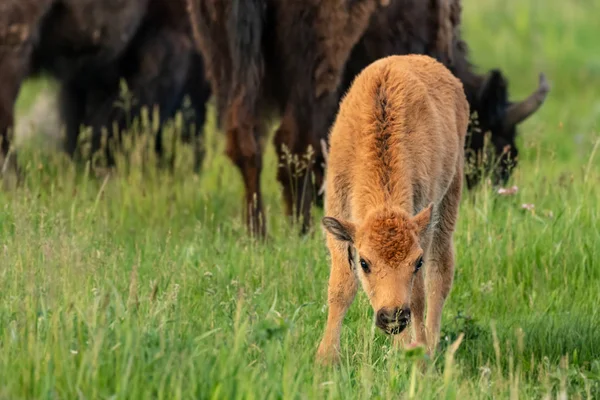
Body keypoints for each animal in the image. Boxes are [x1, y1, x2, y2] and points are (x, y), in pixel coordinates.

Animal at [316, 53, 472, 362]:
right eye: (364, 262)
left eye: (416, 262)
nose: (392, 317)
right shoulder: (339, 220)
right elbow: (341, 287)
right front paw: (326, 358)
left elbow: (418, 295)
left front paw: (418, 352)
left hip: (449, 198)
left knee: (439, 276)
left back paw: (430, 344)